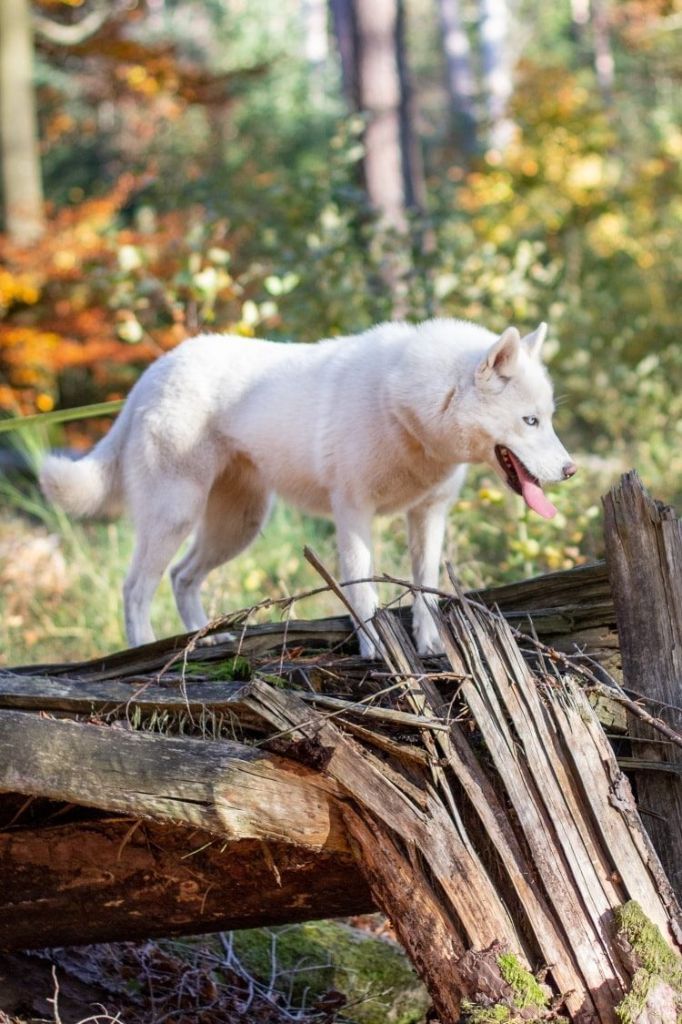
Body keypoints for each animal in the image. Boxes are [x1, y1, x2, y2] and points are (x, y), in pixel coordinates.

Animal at [39, 319, 573, 655]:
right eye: (530, 421)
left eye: (549, 418)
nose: (570, 471)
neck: (406, 407)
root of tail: (150, 374)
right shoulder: (353, 515)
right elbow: (362, 592)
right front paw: (377, 651)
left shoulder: (428, 515)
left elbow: (426, 589)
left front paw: (431, 647)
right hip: (175, 515)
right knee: (135, 589)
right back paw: (143, 648)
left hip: (238, 527)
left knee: (181, 577)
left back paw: (204, 640)